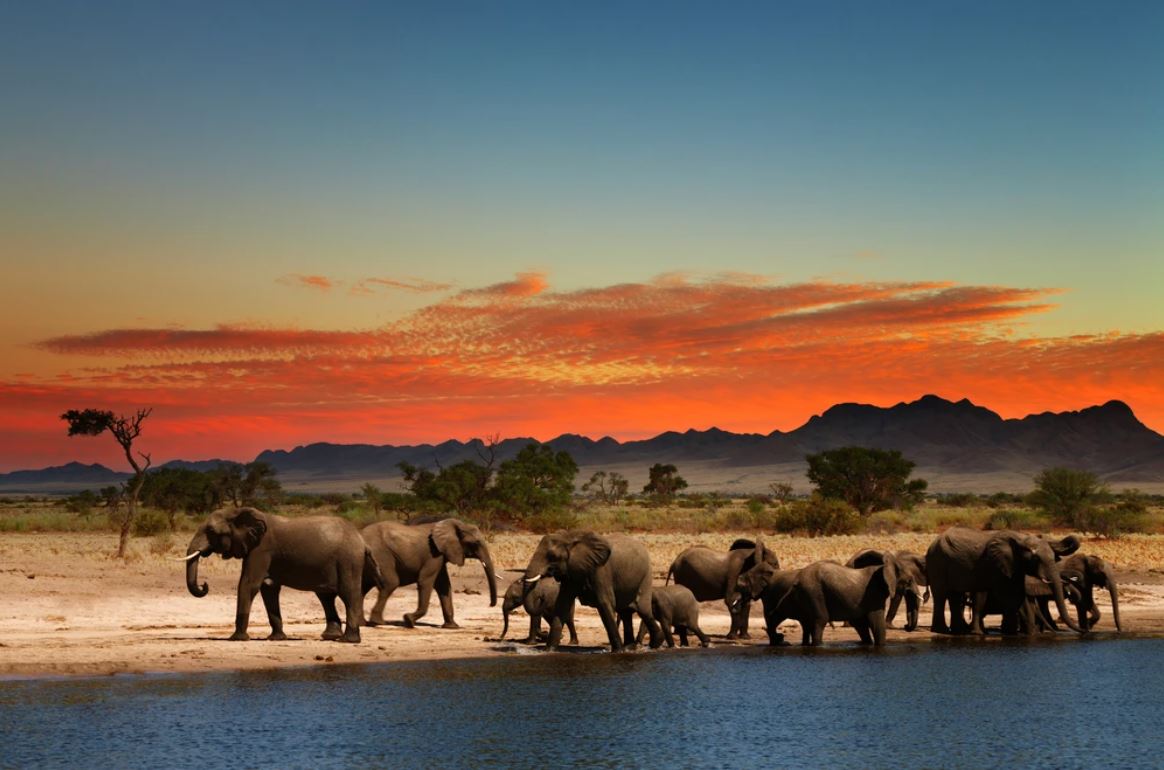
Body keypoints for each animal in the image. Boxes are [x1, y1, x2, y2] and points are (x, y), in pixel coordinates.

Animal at [182, 507, 382, 643]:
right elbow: (268, 589)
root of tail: (362, 541)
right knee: (326, 597)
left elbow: (249, 584)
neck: (239, 512)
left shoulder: (261, 549)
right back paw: (330, 637)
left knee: (348, 594)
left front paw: (237, 638)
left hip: (348, 560)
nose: (204, 585)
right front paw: (276, 638)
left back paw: (348, 640)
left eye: (211, 532)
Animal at [362, 518, 498, 629]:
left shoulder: (441, 555)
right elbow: (425, 581)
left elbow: (444, 585)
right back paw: (377, 622)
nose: (491, 605)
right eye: (475, 543)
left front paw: (452, 627)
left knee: (362, 587)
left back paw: (362, 622)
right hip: (380, 555)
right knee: (390, 583)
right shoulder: (433, 555)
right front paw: (408, 620)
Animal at [522, 530, 662, 652]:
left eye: (552, 556)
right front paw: (549, 650)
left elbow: (604, 604)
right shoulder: (570, 572)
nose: (541, 598)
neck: (571, 537)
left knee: (643, 610)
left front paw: (618, 652)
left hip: (646, 576)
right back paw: (630, 647)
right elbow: (562, 605)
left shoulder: (601, 571)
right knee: (626, 613)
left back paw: (654, 644)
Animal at [925, 527, 1082, 635]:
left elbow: (1018, 594)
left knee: (955, 596)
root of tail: (932, 544)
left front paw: (1021, 633)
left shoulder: (1014, 566)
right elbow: (1010, 594)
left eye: (1053, 557)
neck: (1021, 538)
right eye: (1036, 559)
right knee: (941, 595)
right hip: (937, 562)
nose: (1084, 631)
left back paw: (958, 632)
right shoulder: (997, 564)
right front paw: (1015, 632)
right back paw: (942, 630)